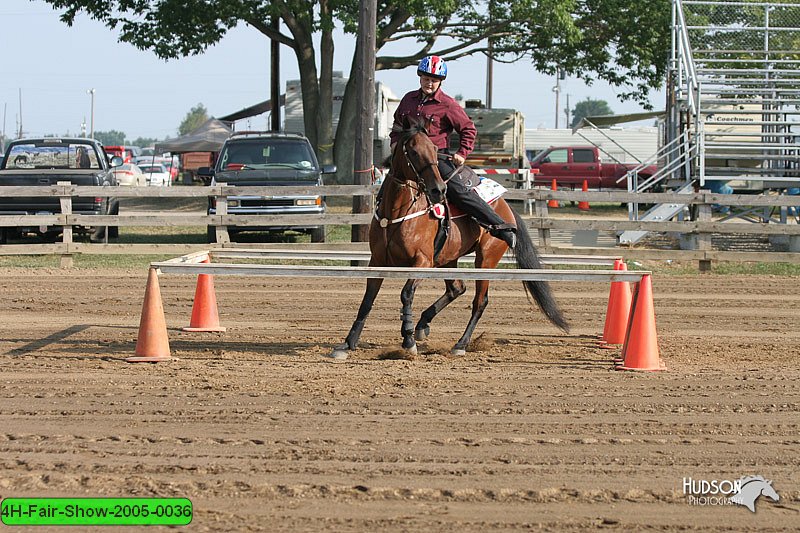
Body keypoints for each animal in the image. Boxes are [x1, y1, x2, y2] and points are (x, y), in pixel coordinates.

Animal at [328, 114, 564, 360]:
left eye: (434, 149)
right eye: (413, 151)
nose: (439, 189)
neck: (396, 212)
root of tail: (505, 208)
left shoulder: (422, 262)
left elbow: (406, 294)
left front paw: (408, 340)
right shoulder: (378, 261)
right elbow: (367, 300)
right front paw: (347, 344)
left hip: (485, 259)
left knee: (480, 301)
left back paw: (460, 343)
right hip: (448, 259)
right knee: (457, 288)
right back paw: (423, 324)